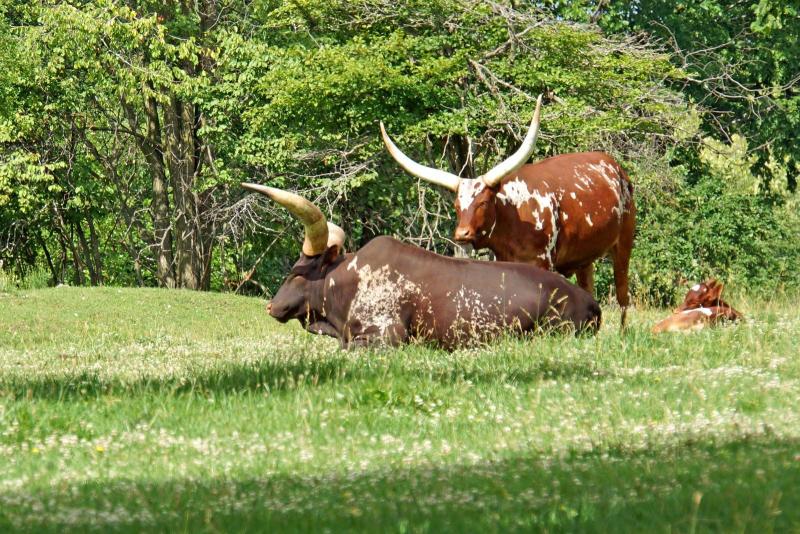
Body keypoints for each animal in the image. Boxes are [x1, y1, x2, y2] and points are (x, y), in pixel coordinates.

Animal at [378, 95, 636, 326]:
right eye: (457, 205)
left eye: (483, 202)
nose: (462, 234)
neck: (513, 214)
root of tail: (616, 167)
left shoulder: (543, 263)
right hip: (584, 258)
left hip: (623, 244)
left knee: (623, 296)